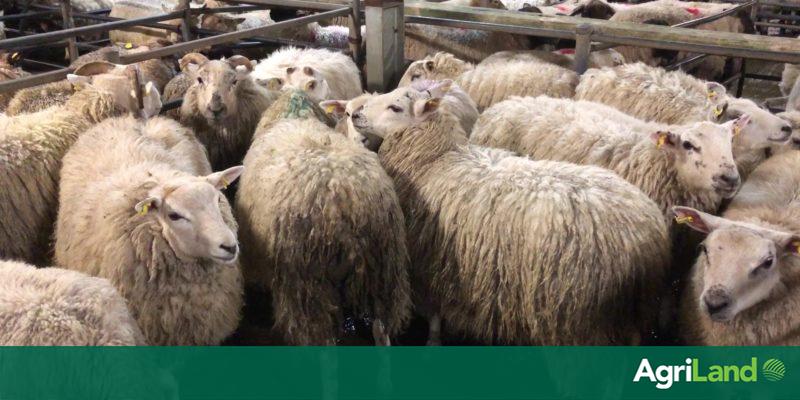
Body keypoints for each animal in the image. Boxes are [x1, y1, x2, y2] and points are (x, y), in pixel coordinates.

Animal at [235, 90, 411, 345]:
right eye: (347, 113)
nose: (363, 139)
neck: (295, 115)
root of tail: (347, 204)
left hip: (307, 286)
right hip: (386, 271)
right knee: (381, 330)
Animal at [352, 80, 670, 345]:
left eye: (395, 107)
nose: (355, 114)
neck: (435, 160)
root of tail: (649, 241)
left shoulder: (429, 259)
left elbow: (433, 314)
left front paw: (433, 340)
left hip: (581, 321)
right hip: (625, 321)